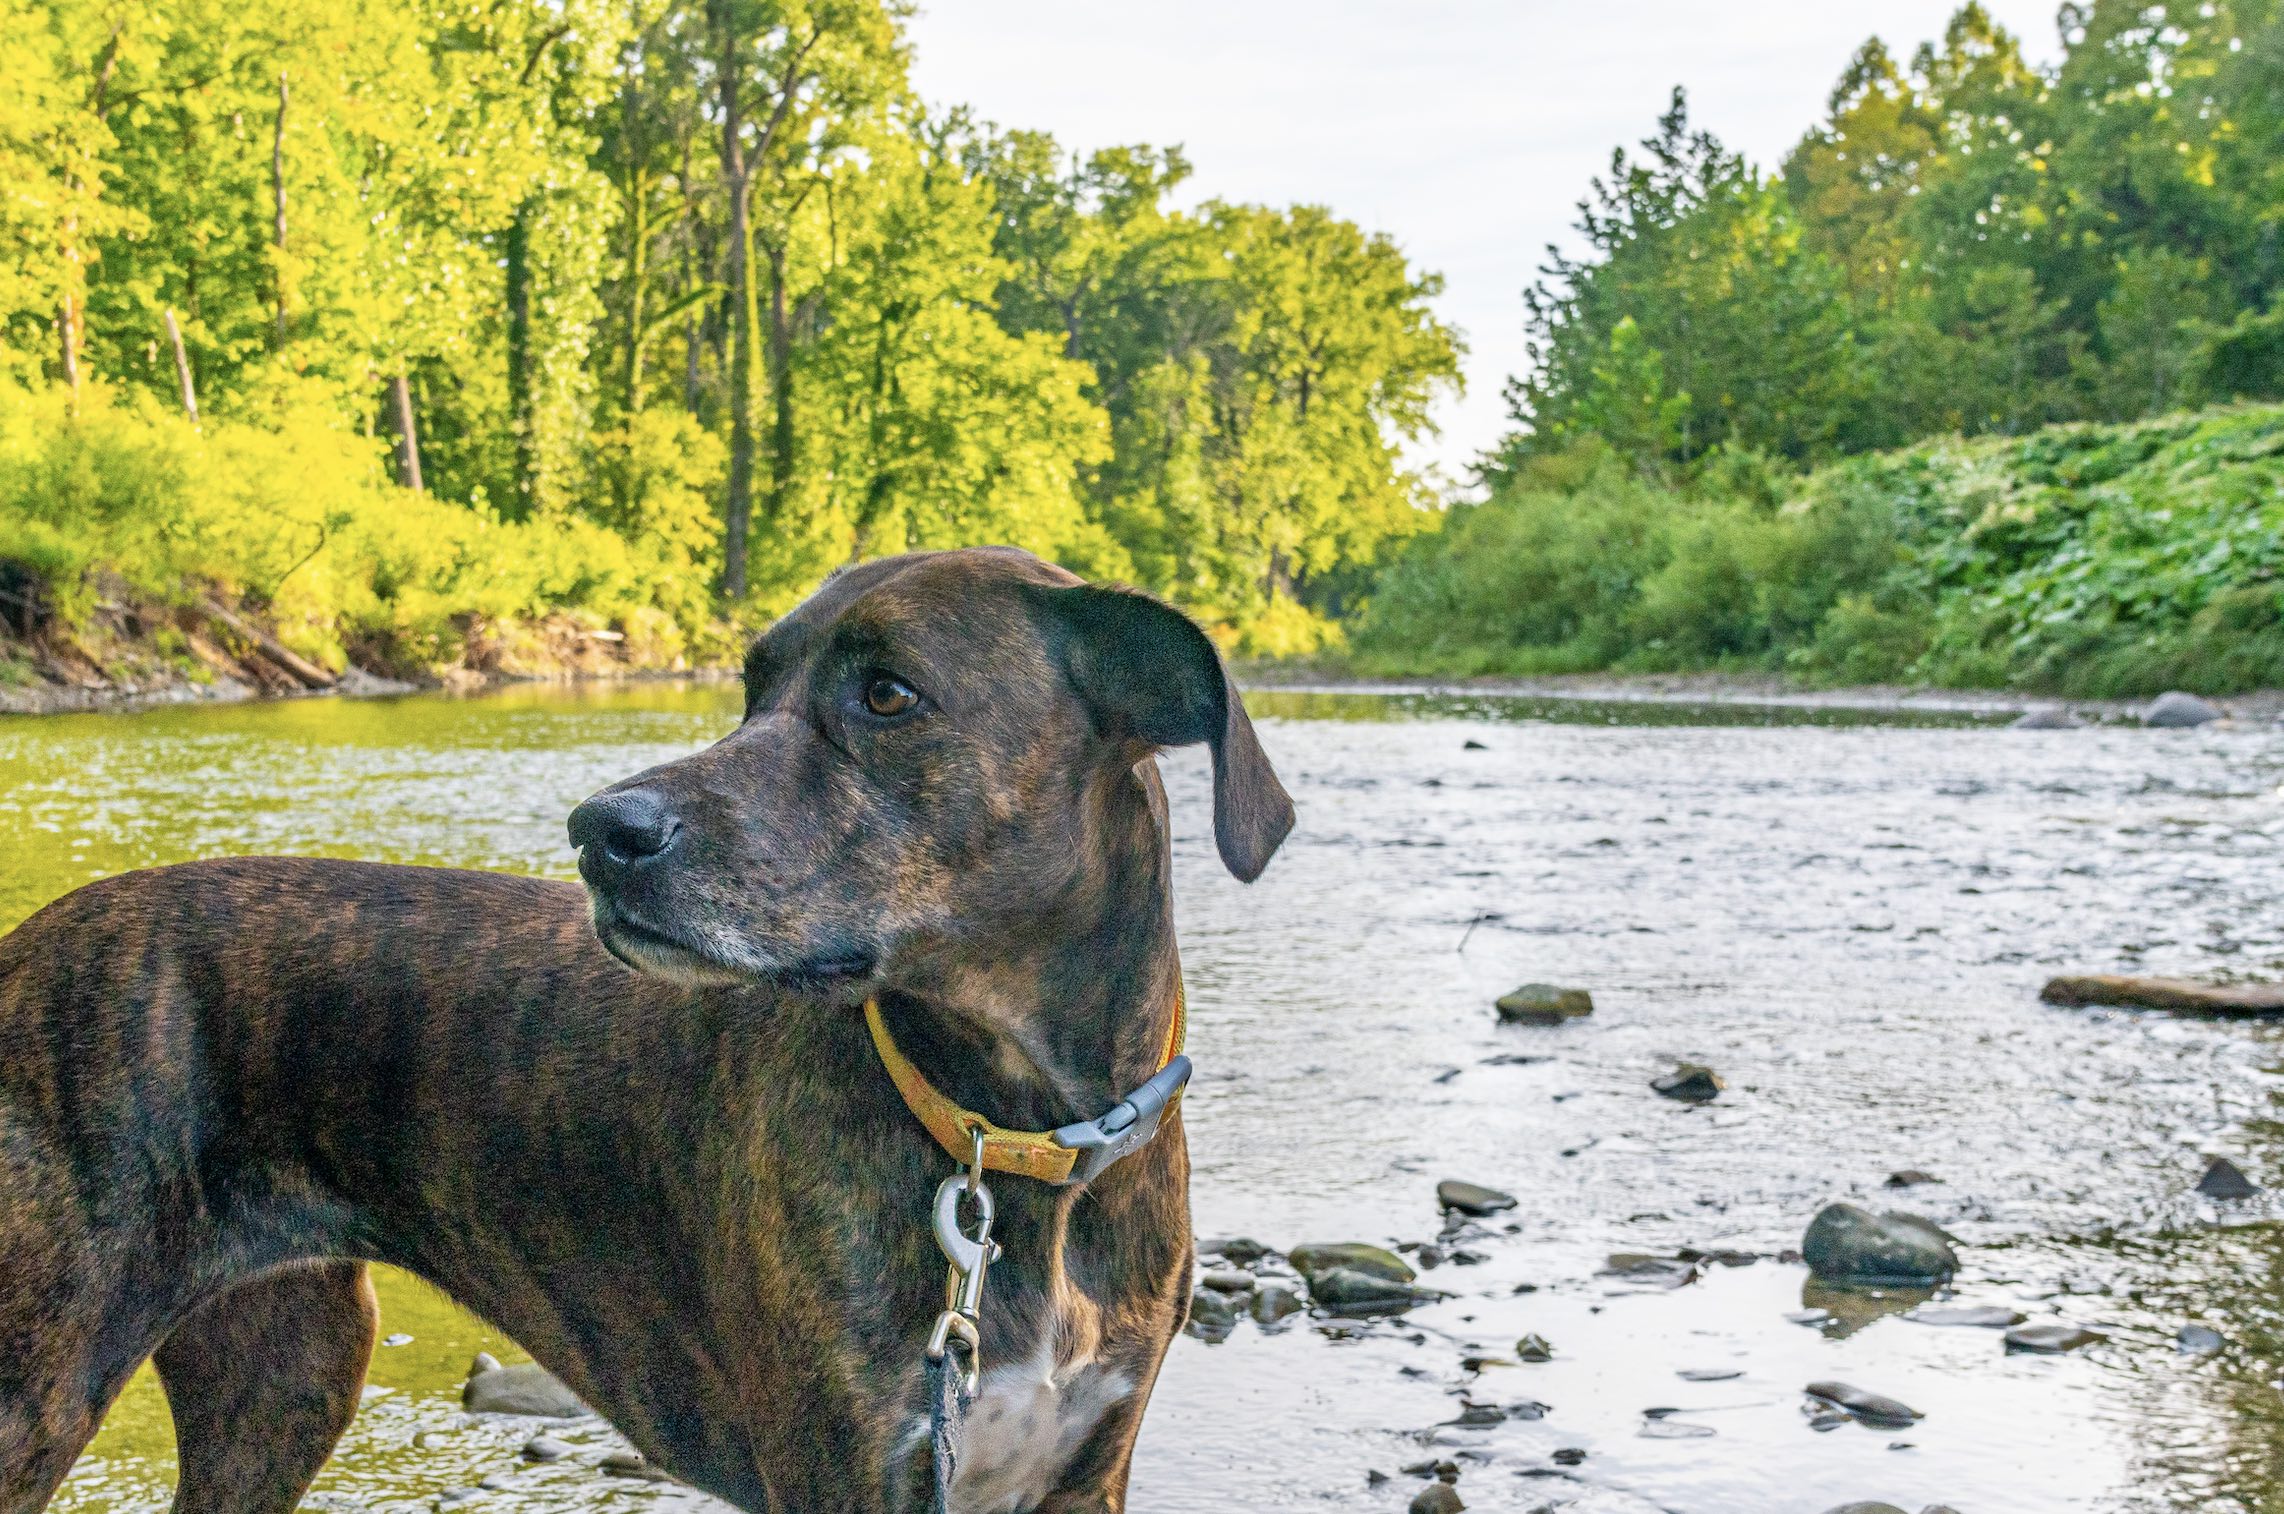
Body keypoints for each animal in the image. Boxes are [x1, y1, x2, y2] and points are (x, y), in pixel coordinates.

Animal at [0, 550, 1288, 1514]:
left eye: (888, 693)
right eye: (753, 686)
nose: (599, 830)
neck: (1009, 1132)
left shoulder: (1082, 1468)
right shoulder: (847, 1468)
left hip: (286, 1375)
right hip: (40, 1385)